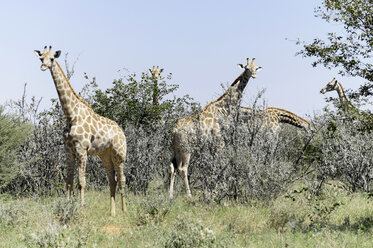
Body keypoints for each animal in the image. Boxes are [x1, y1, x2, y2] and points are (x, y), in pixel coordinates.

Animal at [35, 46, 128, 215]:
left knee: (122, 179)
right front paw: (67, 206)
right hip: (105, 155)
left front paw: (81, 208)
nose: (43, 67)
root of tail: (122, 132)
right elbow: (69, 181)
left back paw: (124, 210)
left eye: (52, 58)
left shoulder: (82, 150)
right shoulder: (69, 150)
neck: (71, 115)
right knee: (112, 180)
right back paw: (112, 212)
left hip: (119, 154)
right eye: (41, 58)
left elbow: (81, 182)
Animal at [169, 57, 262, 198]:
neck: (223, 108)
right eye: (247, 68)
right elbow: (218, 164)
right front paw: (216, 191)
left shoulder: (212, 144)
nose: (255, 75)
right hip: (186, 149)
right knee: (183, 168)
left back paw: (170, 195)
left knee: (172, 167)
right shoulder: (220, 141)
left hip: (176, 149)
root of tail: (174, 132)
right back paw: (189, 195)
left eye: (255, 68)